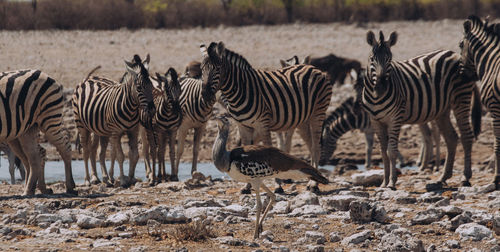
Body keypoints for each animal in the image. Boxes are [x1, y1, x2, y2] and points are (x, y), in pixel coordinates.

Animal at [72, 55, 154, 189]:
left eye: (152, 86)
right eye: (139, 88)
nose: (152, 110)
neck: (130, 108)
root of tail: (87, 79)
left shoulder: (133, 131)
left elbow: (134, 155)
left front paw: (131, 178)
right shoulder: (116, 132)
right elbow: (120, 156)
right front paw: (123, 180)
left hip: (100, 129)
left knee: (100, 153)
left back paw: (105, 178)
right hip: (81, 125)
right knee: (86, 151)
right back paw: (89, 180)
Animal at [199, 41, 332, 193]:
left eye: (218, 69)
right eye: (201, 69)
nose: (205, 96)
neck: (240, 90)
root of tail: (312, 67)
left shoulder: (263, 123)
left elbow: (270, 151)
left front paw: (278, 184)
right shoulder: (242, 125)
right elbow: (246, 146)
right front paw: (247, 186)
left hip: (318, 112)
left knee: (316, 147)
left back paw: (313, 184)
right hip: (302, 119)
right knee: (310, 145)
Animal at [362, 31, 482, 189]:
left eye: (390, 60)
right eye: (372, 59)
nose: (381, 88)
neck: (376, 98)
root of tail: (456, 54)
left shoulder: (395, 118)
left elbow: (391, 151)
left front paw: (392, 183)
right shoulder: (375, 120)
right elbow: (383, 152)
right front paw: (384, 183)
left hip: (461, 98)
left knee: (466, 136)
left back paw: (465, 177)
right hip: (442, 110)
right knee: (451, 138)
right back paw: (443, 177)